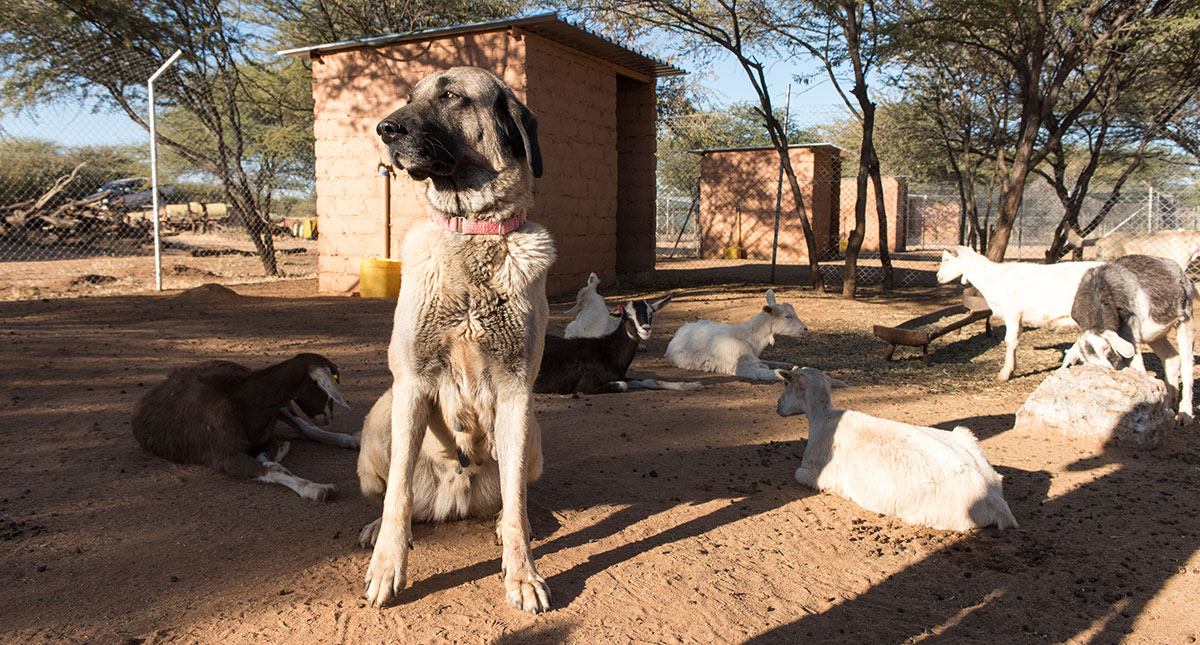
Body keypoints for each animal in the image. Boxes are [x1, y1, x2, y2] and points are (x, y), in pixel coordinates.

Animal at [357, 67, 554, 609]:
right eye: (408, 96)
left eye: (451, 95)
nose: (384, 129)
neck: (471, 233)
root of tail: (454, 499)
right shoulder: (411, 383)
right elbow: (397, 495)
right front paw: (387, 566)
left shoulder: (516, 391)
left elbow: (515, 500)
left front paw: (522, 573)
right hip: (381, 414)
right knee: (395, 494)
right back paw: (376, 528)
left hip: (533, 429)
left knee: (512, 497)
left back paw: (513, 524)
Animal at [662, 288, 811, 378]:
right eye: (787, 316)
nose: (805, 329)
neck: (749, 338)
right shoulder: (744, 368)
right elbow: (775, 373)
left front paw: (788, 365)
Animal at [772, 364, 1017, 529]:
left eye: (786, 383)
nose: (777, 407)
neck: (822, 416)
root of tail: (997, 503)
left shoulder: (815, 471)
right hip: (965, 435)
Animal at [931, 244, 1099, 376]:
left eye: (947, 259)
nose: (938, 277)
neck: (991, 277)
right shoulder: (1019, 317)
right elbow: (1015, 340)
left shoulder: (1012, 313)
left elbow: (1009, 341)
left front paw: (1005, 373)